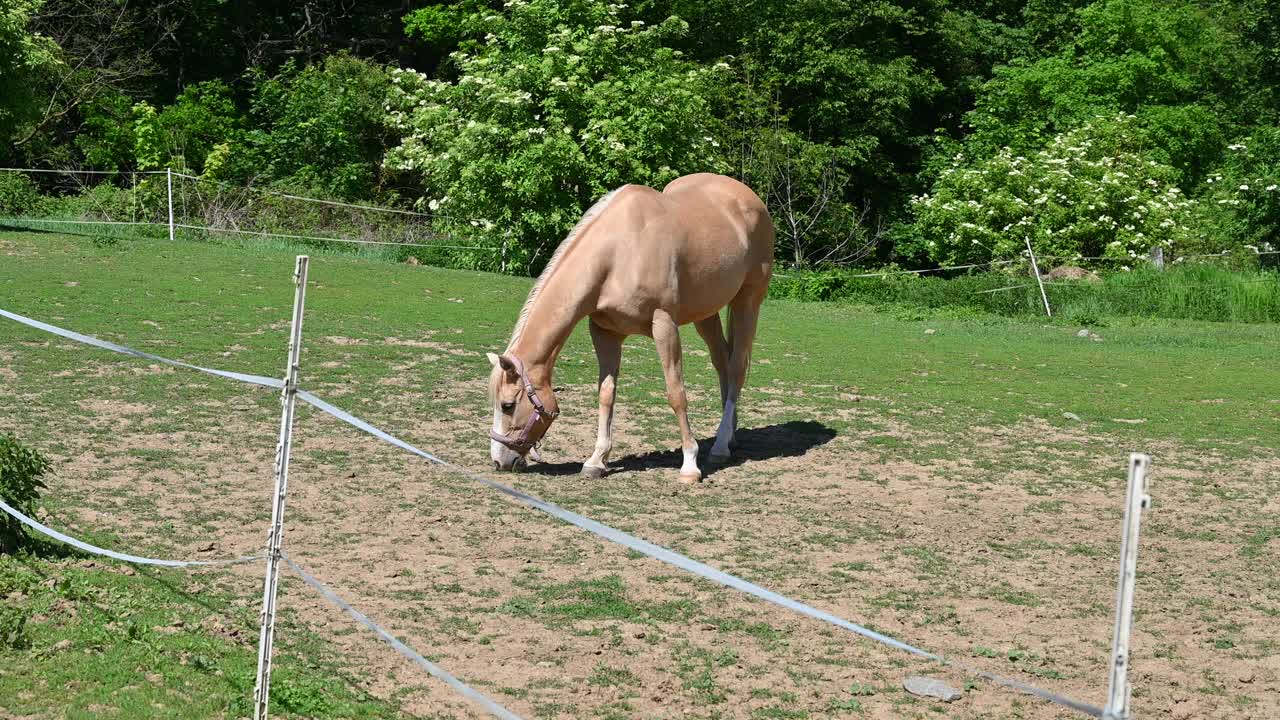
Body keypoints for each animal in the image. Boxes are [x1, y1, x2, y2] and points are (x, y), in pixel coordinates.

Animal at [486, 170, 768, 479]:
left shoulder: (664, 325)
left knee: (737, 367)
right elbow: (606, 394)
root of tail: (748, 197)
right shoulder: (605, 332)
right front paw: (596, 460)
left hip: (748, 300)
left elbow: (676, 393)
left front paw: (690, 465)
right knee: (722, 362)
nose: (499, 461)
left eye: (508, 405)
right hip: (706, 313)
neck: (617, 253)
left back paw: (719, 446)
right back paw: (728, 437)